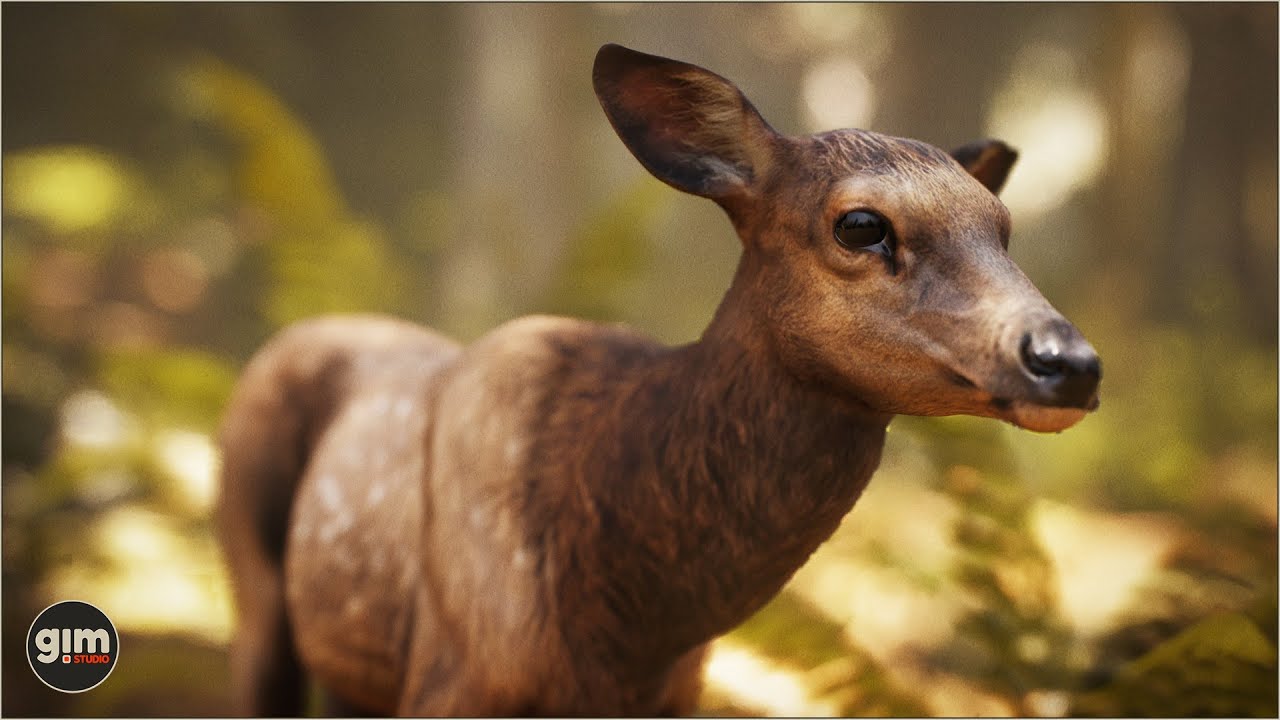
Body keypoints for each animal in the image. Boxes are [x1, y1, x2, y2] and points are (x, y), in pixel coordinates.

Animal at [216, 43, 1101, 716]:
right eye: (861, 225)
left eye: (1003, 228)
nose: (1070, 362)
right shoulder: (453, 676)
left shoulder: (677, 695)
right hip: (254, 578)